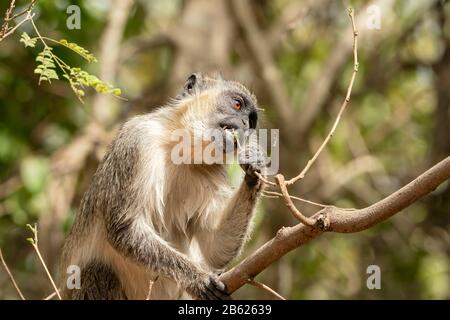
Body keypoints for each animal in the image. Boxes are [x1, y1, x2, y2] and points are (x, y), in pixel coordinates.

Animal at [58, 72, 266, 300]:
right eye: (237, 104)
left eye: (251, 121)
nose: (244, 124)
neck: (180, 148)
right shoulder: (137, 139)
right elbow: (125, 227)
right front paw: (198, 279)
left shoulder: (214, 173)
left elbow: (215, 249)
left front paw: (254, 166)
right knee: (97, 270)